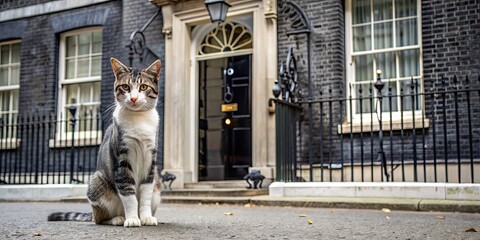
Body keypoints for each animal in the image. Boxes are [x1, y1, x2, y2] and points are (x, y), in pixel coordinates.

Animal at [48, 57, 161, 227]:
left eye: (143, 87)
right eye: (126, 87)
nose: (134, 98)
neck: (138, 119)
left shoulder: (150, 160)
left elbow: (145, 193)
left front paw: (146, 217)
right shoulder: (121, 158)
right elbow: (128, 194)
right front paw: (132, 219)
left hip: (157, 188)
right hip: (97, 182)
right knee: (99, 218)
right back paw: (118, 219)